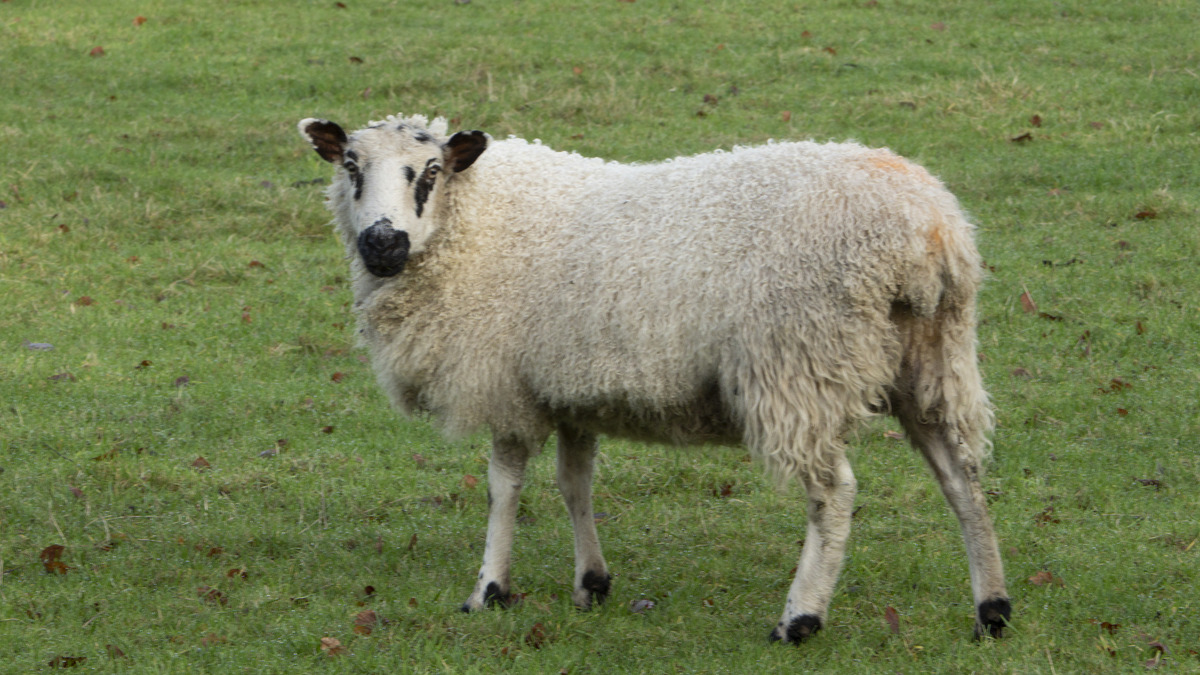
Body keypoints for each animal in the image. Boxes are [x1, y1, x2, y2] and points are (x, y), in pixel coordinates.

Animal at [297, 113, 1012, 643]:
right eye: (350, 166)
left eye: (431, 172)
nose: (382, 244)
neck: (476, 223)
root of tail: (929, 226)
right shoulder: (570, 388)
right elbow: (574, 484)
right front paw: (591, 584)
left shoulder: (503, 383)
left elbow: (505, 488)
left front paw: (488, 590)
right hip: (934, 359)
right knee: (962, 475)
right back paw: (992, 608)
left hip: (798, 362)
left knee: (834, 493)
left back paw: (800, 617)